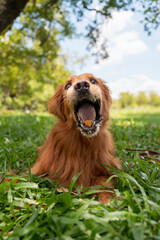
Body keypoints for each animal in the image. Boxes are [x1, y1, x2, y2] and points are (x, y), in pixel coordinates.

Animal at [31, 72, 121, 202]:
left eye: (93, 81)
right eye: (67, 85)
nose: (82, 85)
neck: (82, 142)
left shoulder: (106, 169)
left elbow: (104, 183)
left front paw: (108, 199)